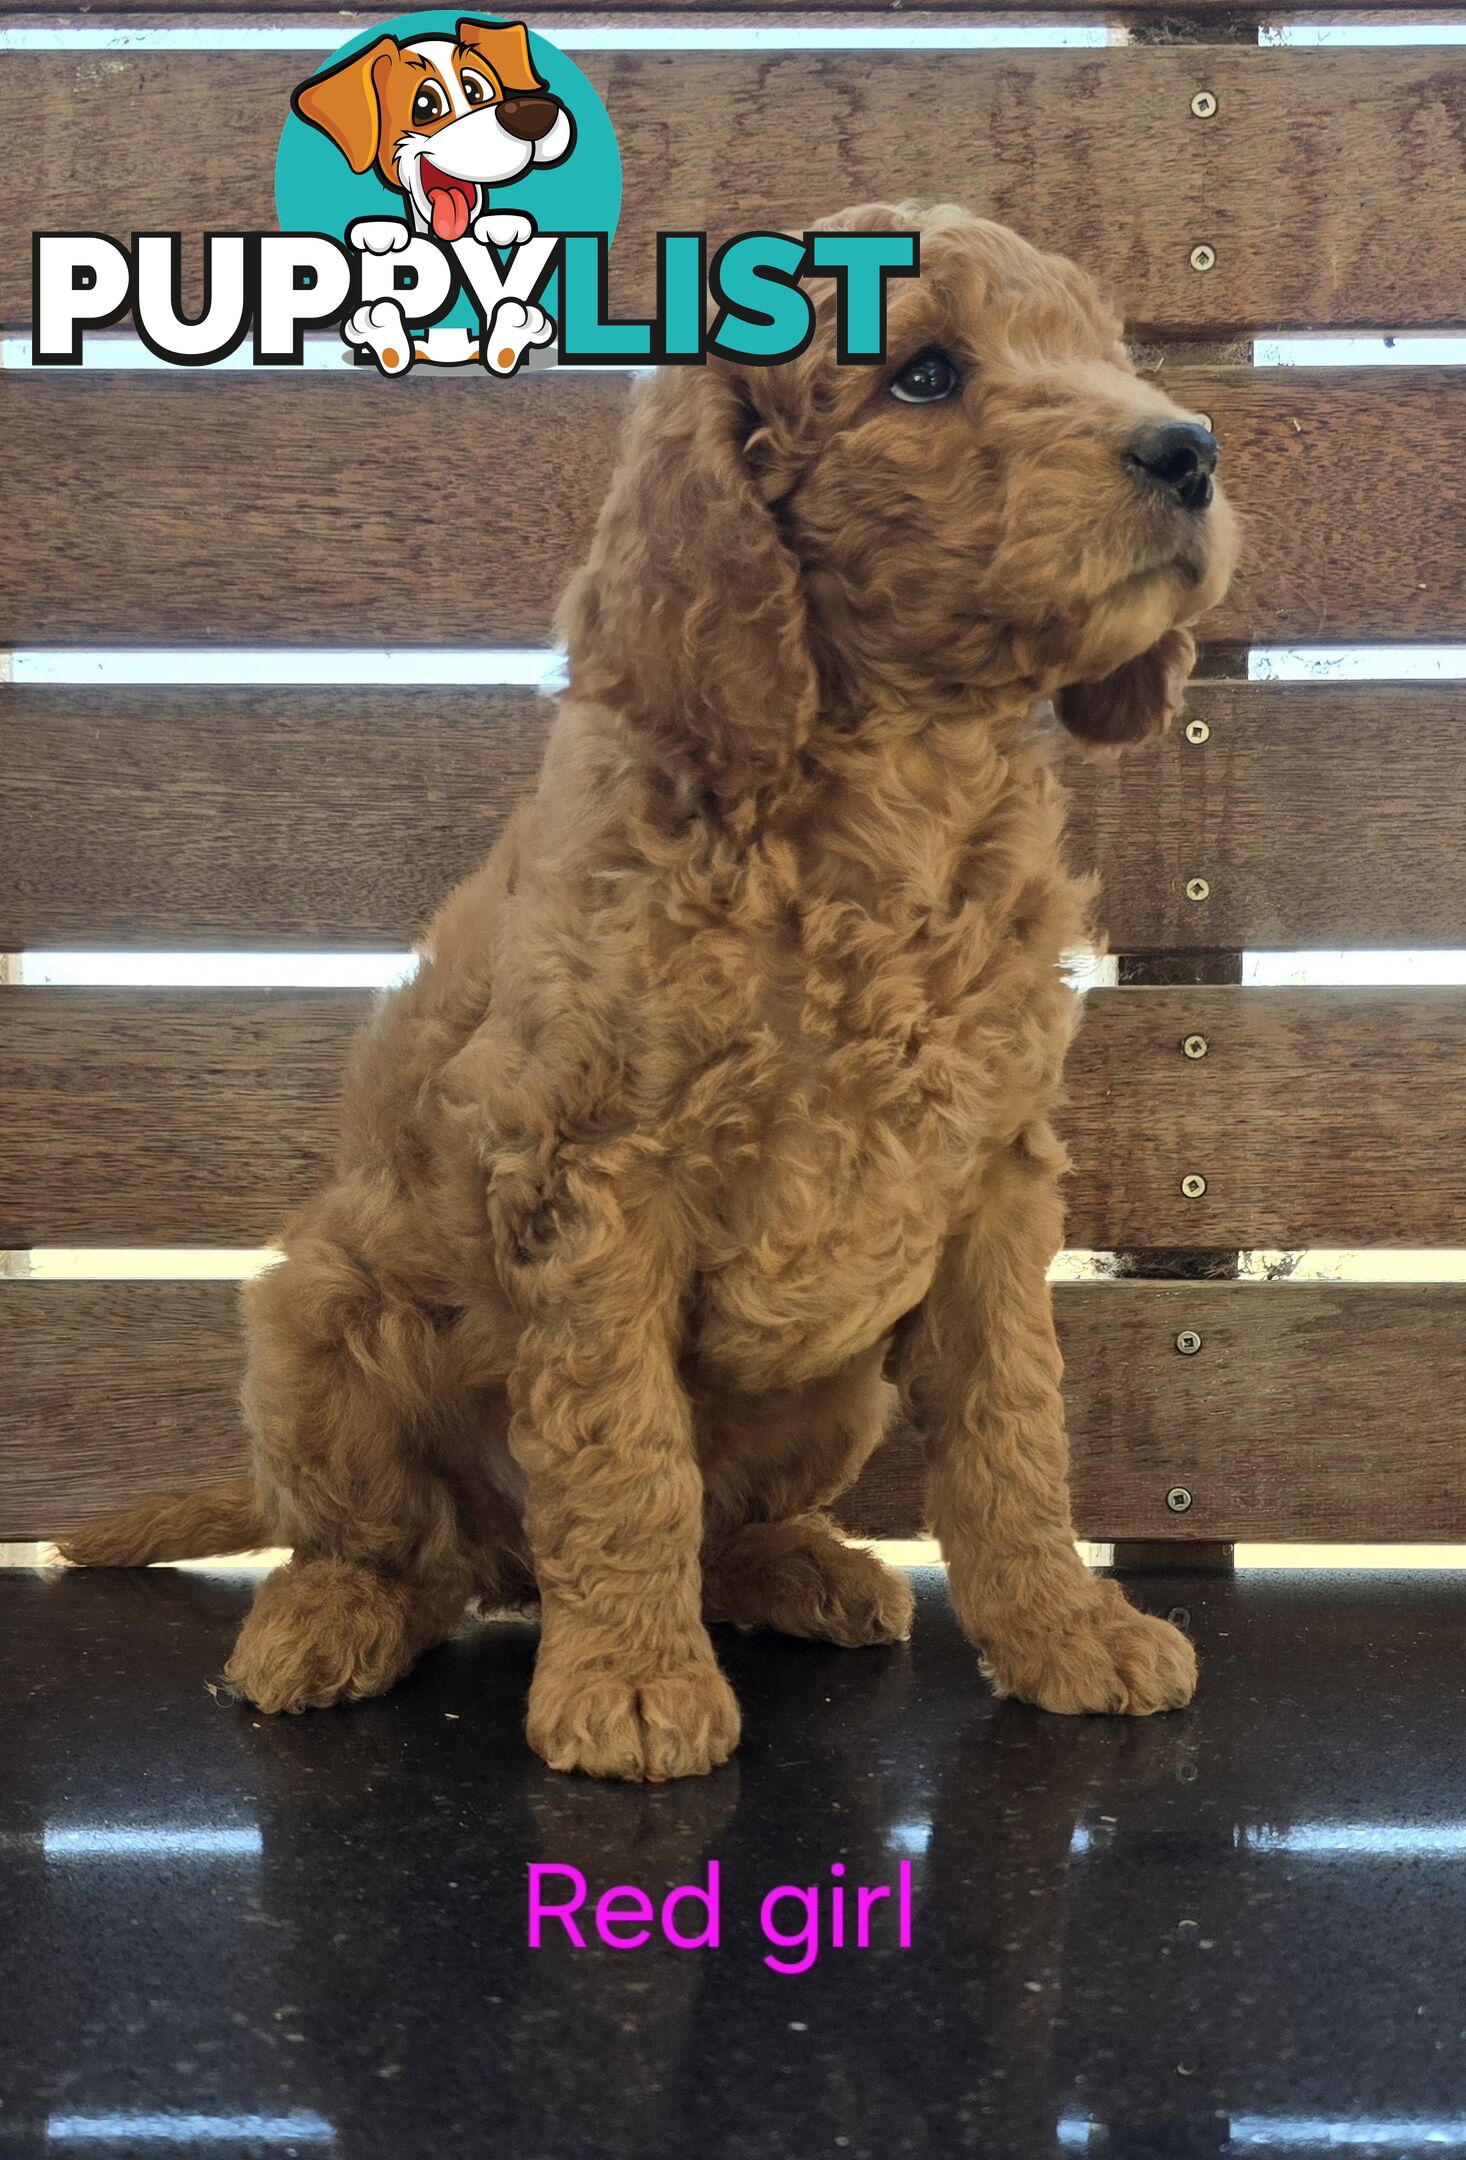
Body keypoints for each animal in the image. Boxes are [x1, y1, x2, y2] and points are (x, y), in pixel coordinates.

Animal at [65, 206, 1234, 1771]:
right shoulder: (593, 1181)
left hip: (830, 1395)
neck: (893, 795)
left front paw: (1063, 1632)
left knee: (706, 1521)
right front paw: (627, 1683)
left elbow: (1012, 1431)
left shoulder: (990, 1181)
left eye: (1101, 353)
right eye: (924, 374)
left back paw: (796, 1570)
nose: (1189, 447)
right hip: (314, 1321)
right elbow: (624, 1454)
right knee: (397, 1546)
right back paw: (330, 1617)